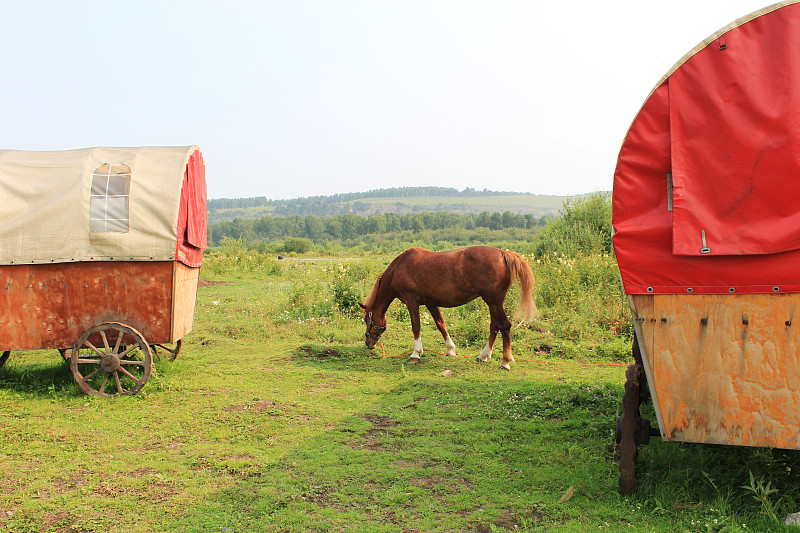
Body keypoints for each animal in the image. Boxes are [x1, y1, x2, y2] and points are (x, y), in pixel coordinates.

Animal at [360, 246, 536, 368]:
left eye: (366, 320)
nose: (369, 343)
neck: (399, 268)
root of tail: (504, 253)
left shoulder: (412, 301)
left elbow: (416, 327)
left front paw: (416, 354)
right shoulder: (431, 303)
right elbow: (441, 325)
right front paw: (451, 350)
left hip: (493, 302)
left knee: (504, 326)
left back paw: (505, 361)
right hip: (493, 303)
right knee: (494, 326)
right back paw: (484, 355)